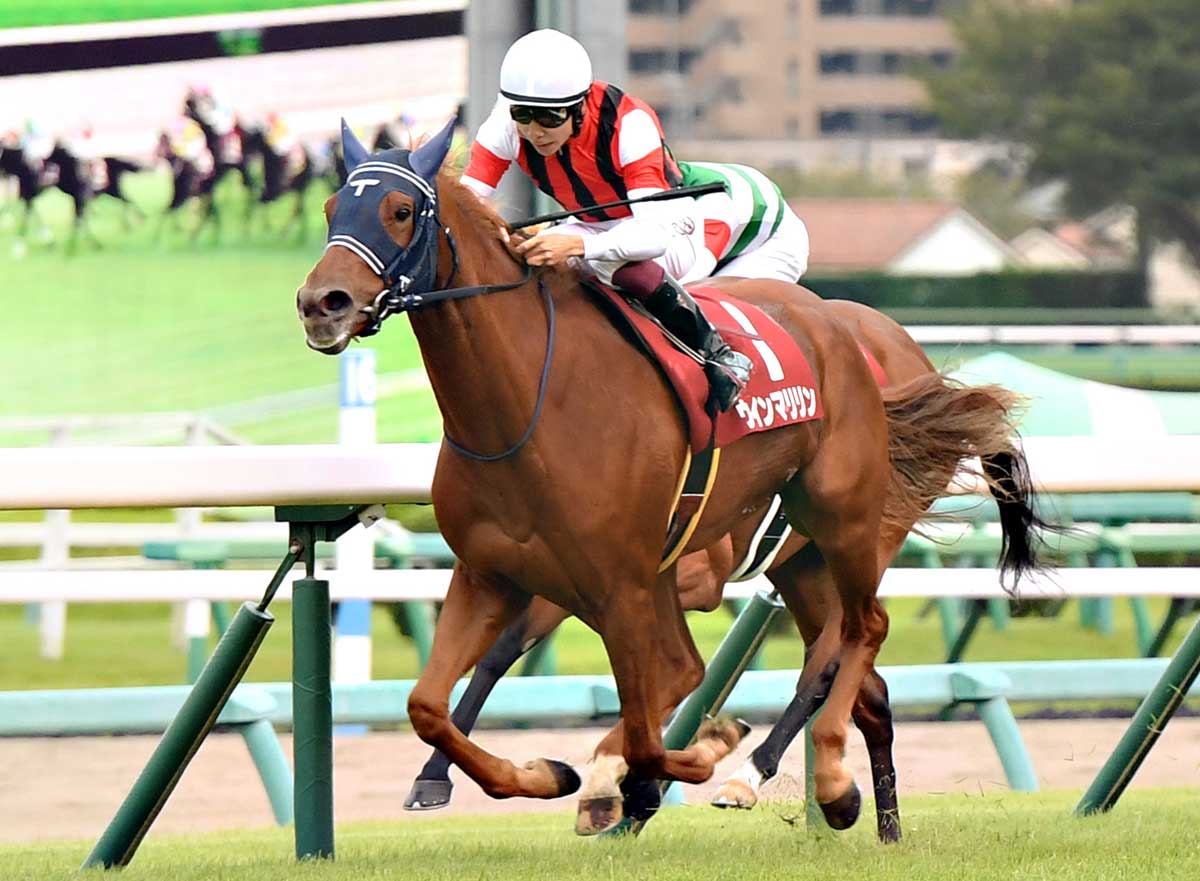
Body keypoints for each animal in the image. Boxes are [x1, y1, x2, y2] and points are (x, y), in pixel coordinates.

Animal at [295, 121, 1053, 836]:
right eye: (333, 206)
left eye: (400, 210)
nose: (321, 302)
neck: (528, 408)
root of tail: (870, 342)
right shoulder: (495, 573)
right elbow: (431, 702)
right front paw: (527, 775)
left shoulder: (629, 583)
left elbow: (649, 722)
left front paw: (675, 759)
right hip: (801, 561)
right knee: (855, 675)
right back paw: (865, 813)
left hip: (852, 523)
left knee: (859, 632)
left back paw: (790, 777)